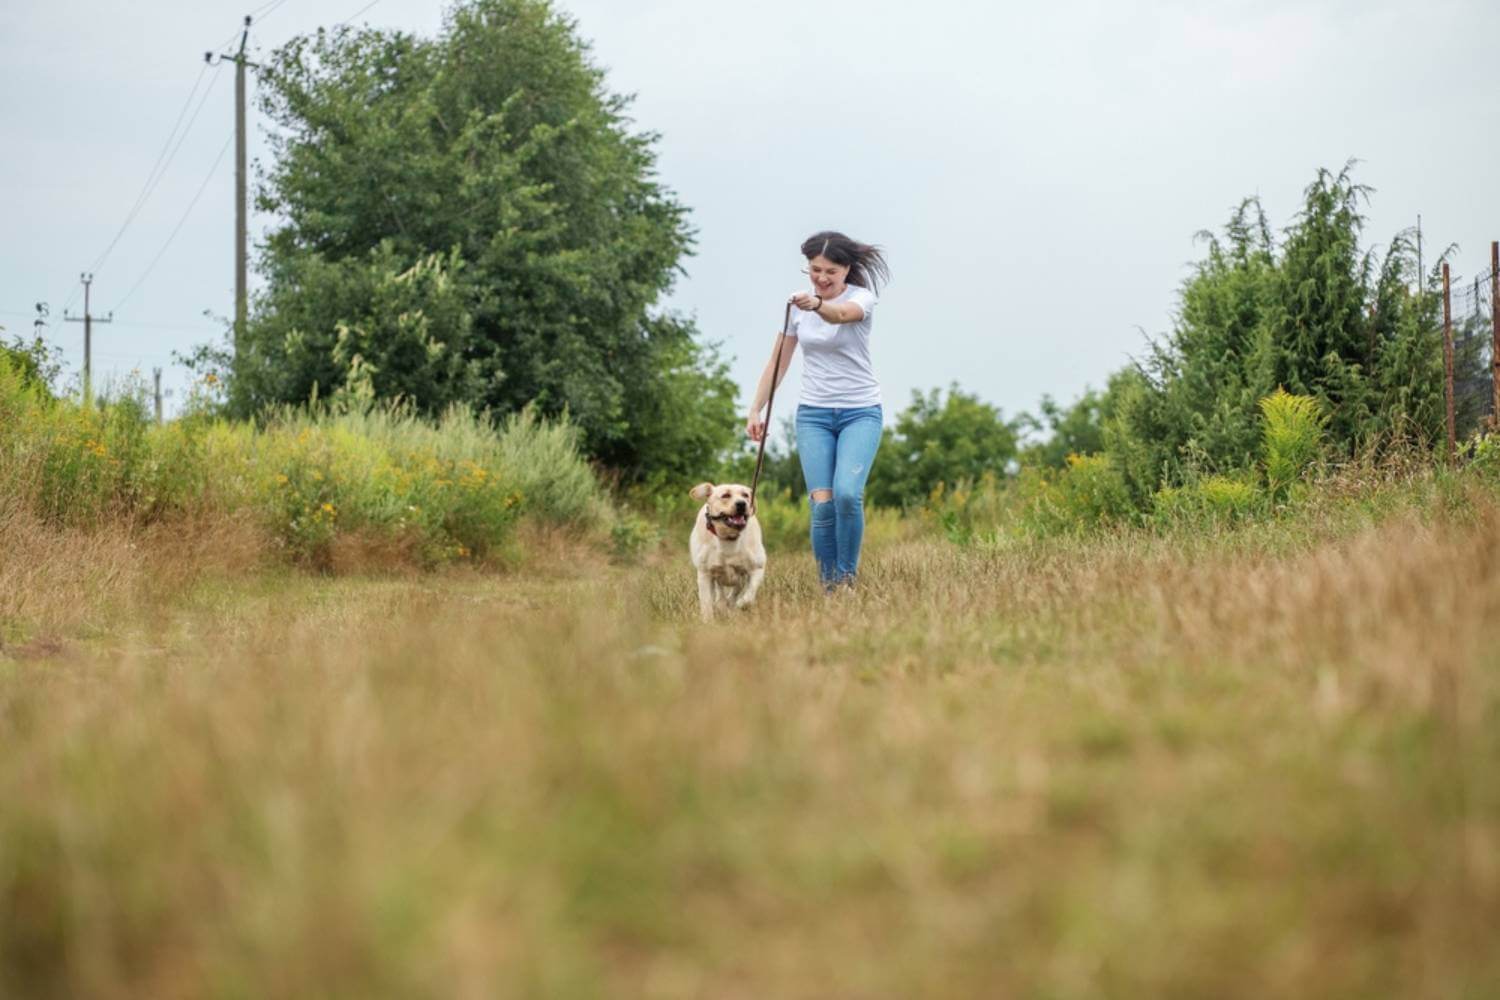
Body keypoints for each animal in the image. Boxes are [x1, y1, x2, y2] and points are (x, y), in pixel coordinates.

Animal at [687, 482, 762, 620]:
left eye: (745, 495)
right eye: (725, 495)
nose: (742, 504)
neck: (728, 538)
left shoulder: (757, 568)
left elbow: (749, 595)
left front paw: (741, 603)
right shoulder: (704, 574)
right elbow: (706, 602)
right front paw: (708, 621)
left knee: (734, 592)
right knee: (720, 593)